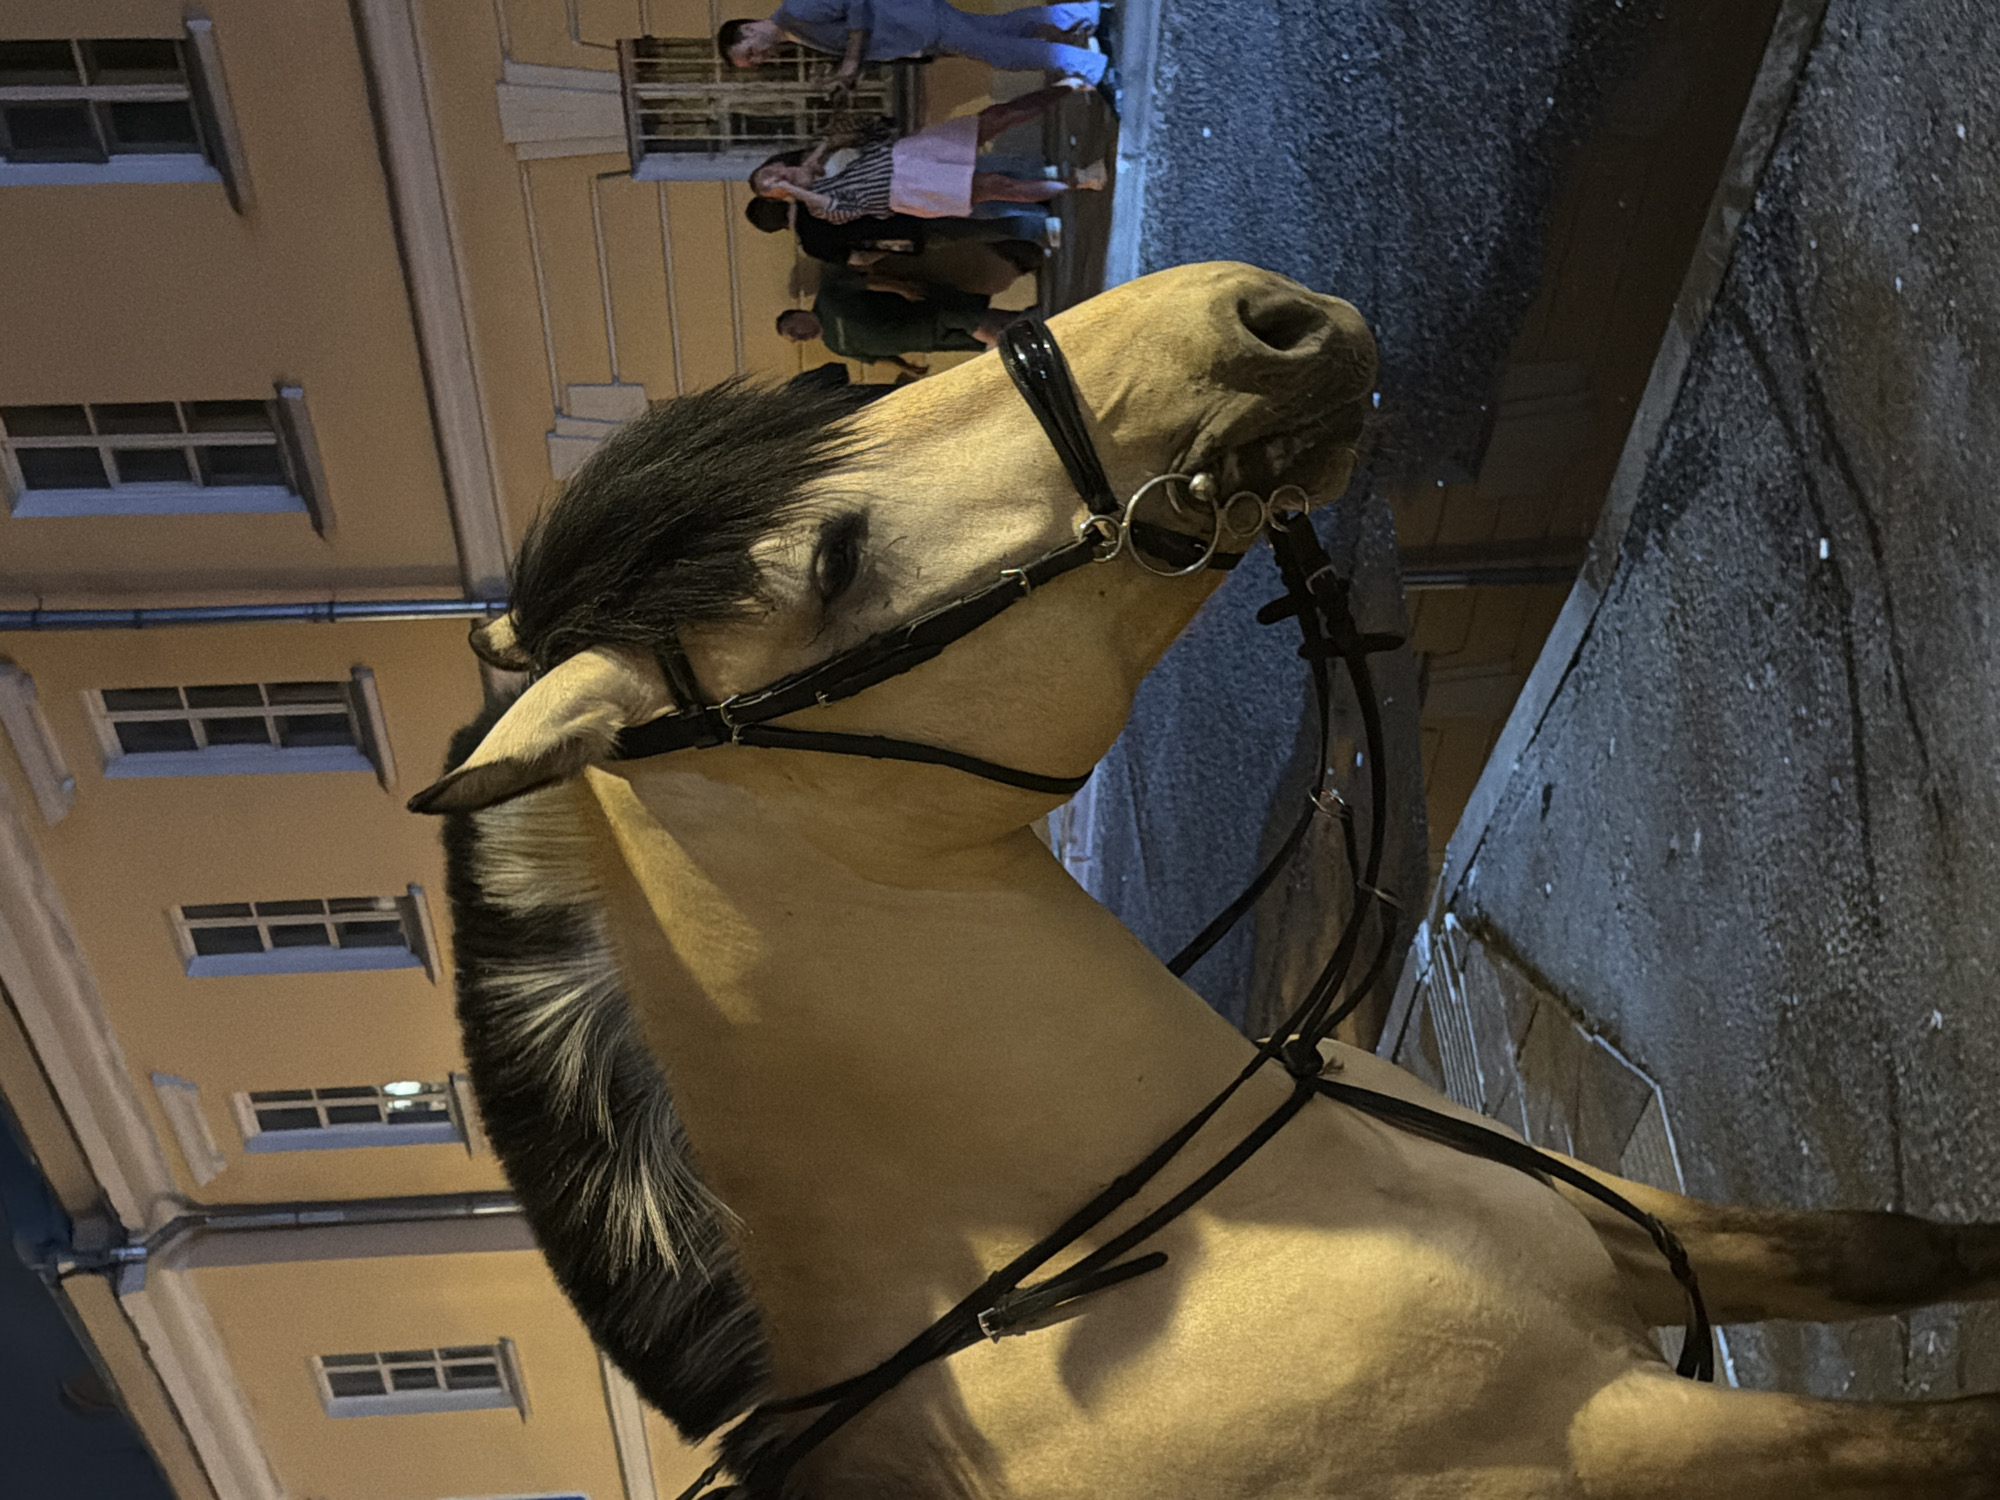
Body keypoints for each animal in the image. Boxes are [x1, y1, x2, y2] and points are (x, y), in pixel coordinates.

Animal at [413, 263, 2000, 1498]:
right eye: (836, 560)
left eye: (828, 393)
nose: (1264, 314)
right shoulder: (1627, 1435)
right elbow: (1947, 1432)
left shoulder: (1627, 1217)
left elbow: (1888, 1249)